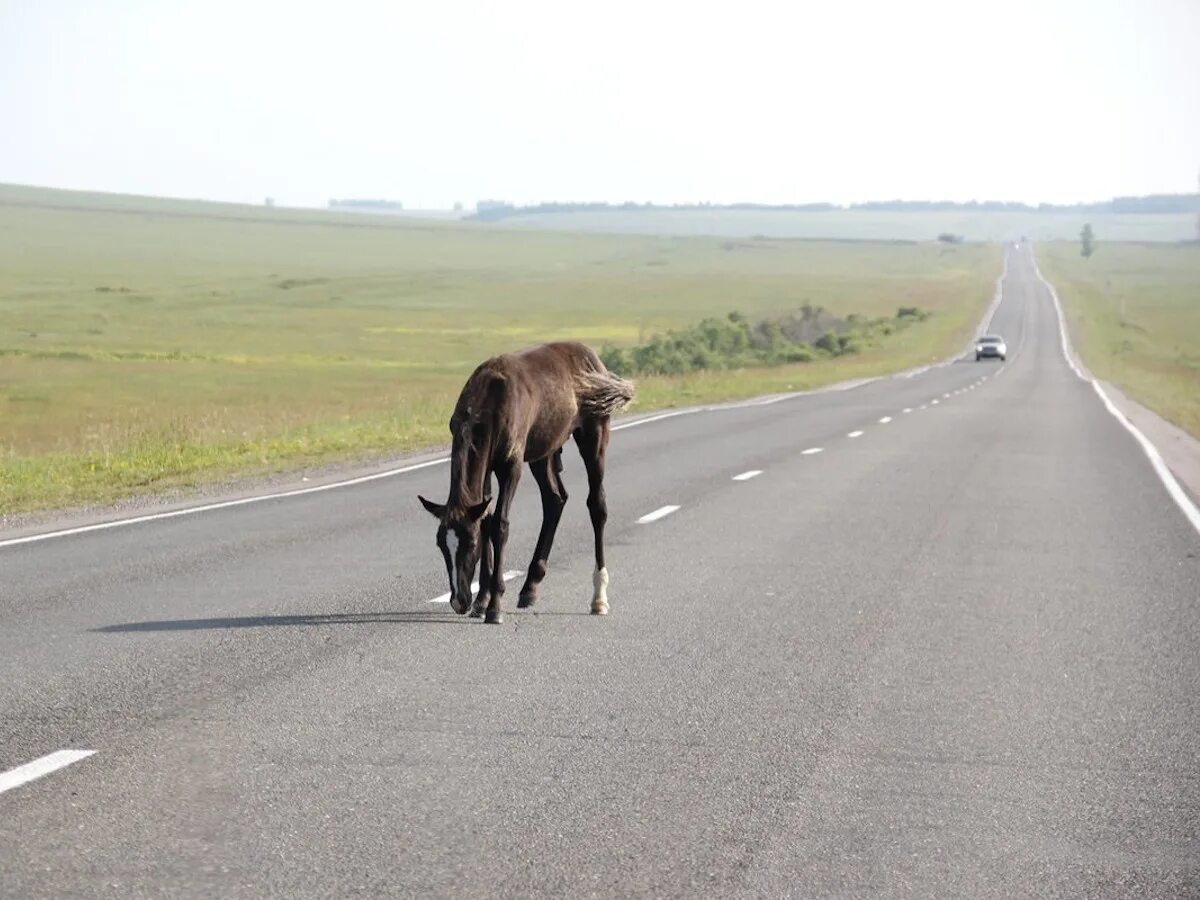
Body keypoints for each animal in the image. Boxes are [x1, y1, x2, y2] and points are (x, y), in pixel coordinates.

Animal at [420, 340, 633, 624]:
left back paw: (598, 598)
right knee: (555, 500)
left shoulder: (511, 465)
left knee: (597, 506)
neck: (489, 402)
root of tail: (594, 360)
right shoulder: (486, 466)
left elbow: (500, 524)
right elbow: (485, 519)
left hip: (594, 433)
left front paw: (495, 605)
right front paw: (482, 600)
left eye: (471, 544)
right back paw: (530, 586)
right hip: (544, 453)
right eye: (441, 544)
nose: (459, 601)